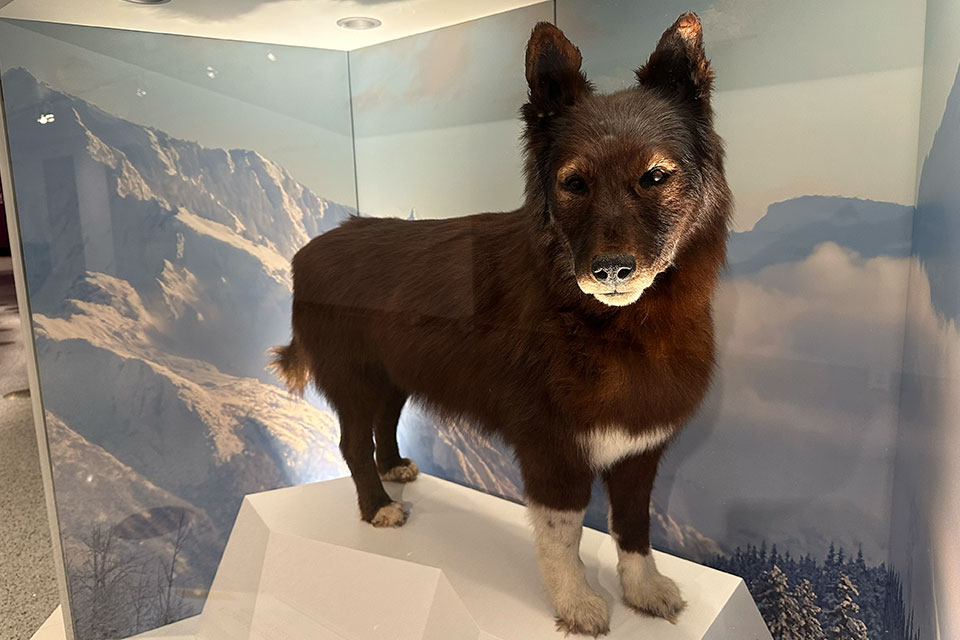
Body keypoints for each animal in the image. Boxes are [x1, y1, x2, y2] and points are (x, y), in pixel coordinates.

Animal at [274, 13, 732, 636]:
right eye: (573, 183)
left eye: (655, 176)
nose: (611, 269)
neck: (613, 327)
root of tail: (307, 251)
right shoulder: (552, 450)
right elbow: (562, 538)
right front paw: (576, 604)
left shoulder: (639, 451)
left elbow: (634, 529)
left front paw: (644, 590)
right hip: (355, 381)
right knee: (349, 443)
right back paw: (378, 508)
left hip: (396, 376)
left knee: (383, 426)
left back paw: (395, 469)